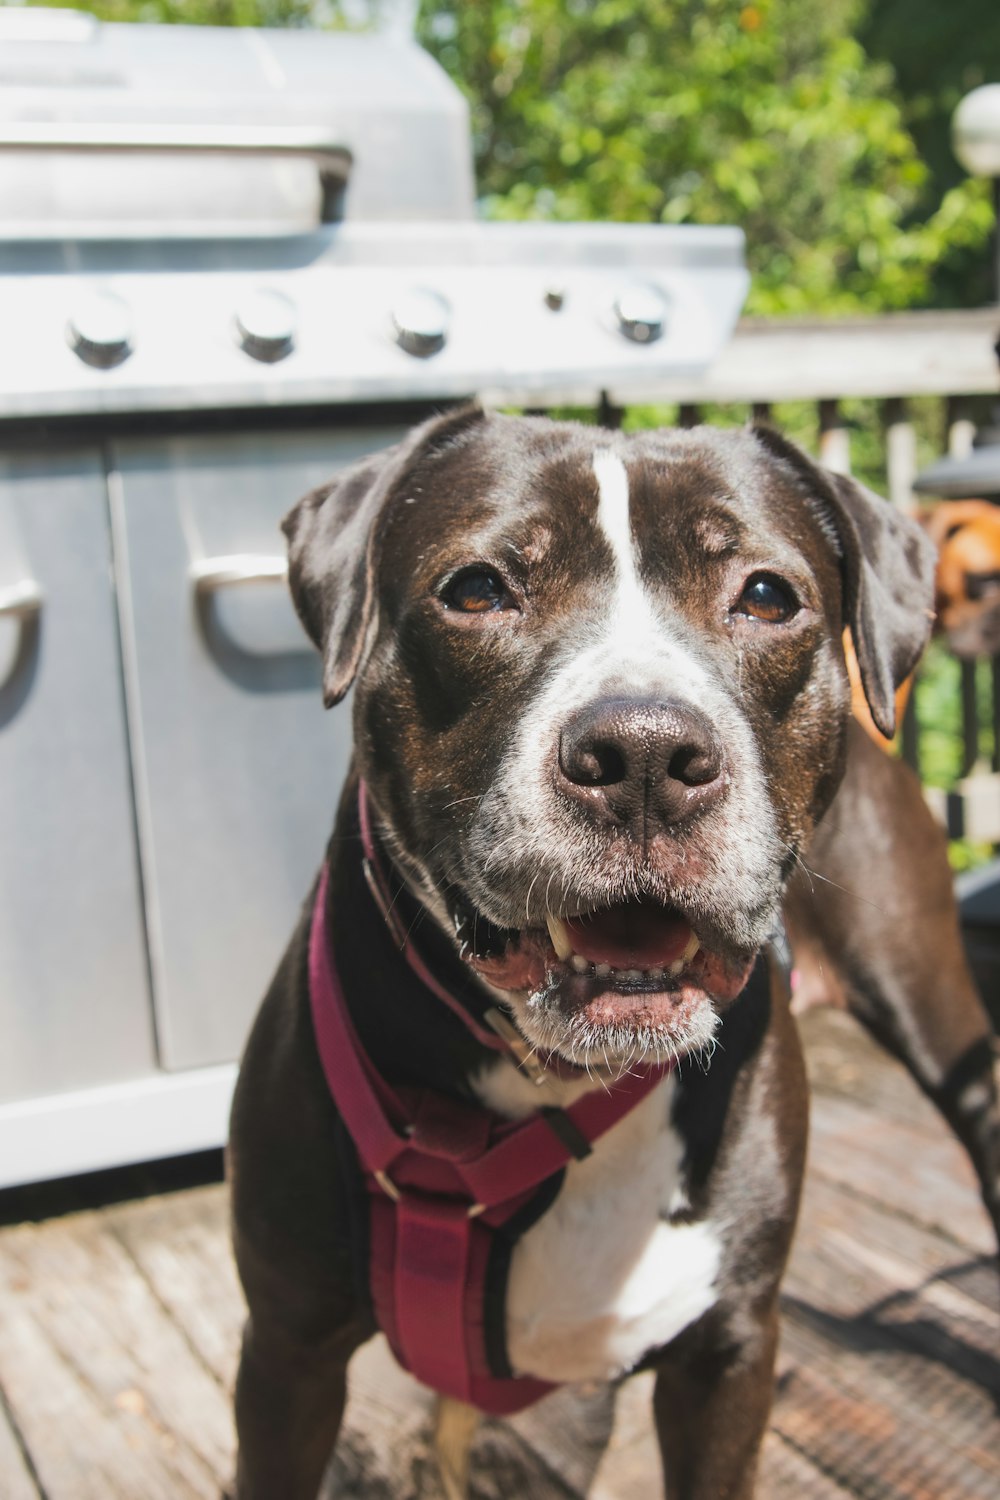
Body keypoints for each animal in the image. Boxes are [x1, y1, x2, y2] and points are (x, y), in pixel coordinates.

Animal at [229, 411, 1000, 1500]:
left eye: (766, 596)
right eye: (477, 589)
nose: (644, 756)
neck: (547, 1088)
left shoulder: (726, 1358)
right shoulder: (286, 1359)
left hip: (930, 1005)